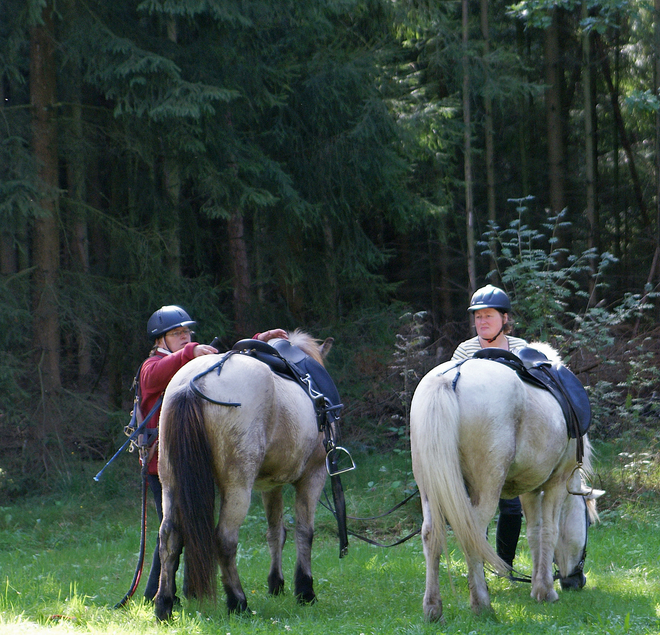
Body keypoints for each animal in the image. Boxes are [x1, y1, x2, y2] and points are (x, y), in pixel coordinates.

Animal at [154, 332, 336, 620]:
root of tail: (192, 384)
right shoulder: (313, 476)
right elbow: (305, 532)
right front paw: (305, 590)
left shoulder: (271, 486)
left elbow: (276, 532)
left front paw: (276, 584)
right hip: (237, 485)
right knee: (224, 539)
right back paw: (238, 602)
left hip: (171, 483)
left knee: (169, 536)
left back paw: (164, 604)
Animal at [412, 348, 604, 620]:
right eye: (587, 523)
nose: (577, 582)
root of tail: (452, 377)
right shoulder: (556, 482)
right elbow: (549, 530)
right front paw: (546, 591)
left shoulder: (530, 489)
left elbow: (534, 533)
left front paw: (538, 587)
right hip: (486, 488)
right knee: (472, 534)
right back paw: (482, 604)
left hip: (430, 490)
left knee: (431, 535)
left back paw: (433, 608)